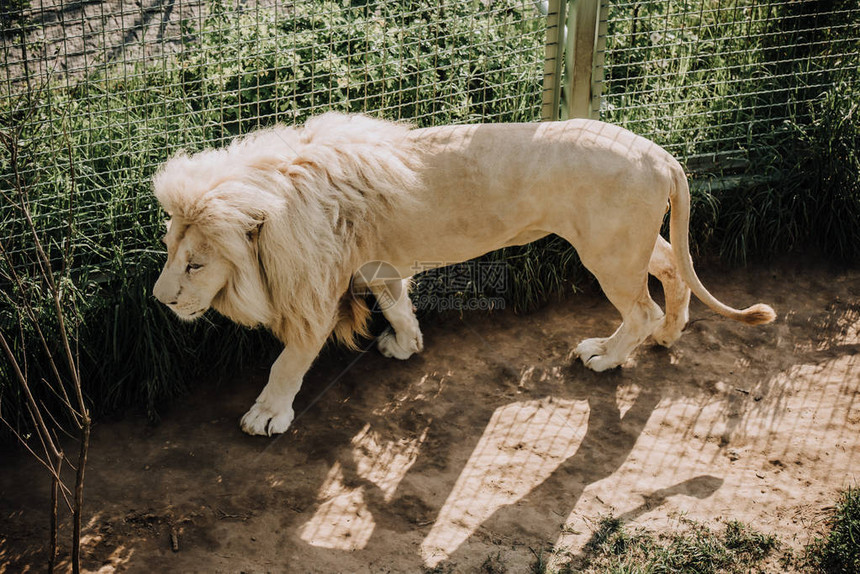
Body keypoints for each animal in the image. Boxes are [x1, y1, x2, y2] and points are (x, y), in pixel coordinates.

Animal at [151, 112, 776, 436]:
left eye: (197, 263)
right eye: (168, 249)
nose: (160, 300)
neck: (282, 191)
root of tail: (659, 153)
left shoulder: (317, 286)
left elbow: (290, 359)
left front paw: (266, 414)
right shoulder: (375, 259)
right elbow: (396, 302)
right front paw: (406, 345)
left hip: (608, 249)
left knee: (640, 308)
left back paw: (606, 355)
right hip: (625, 242)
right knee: (672, 269)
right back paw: (670, 333)